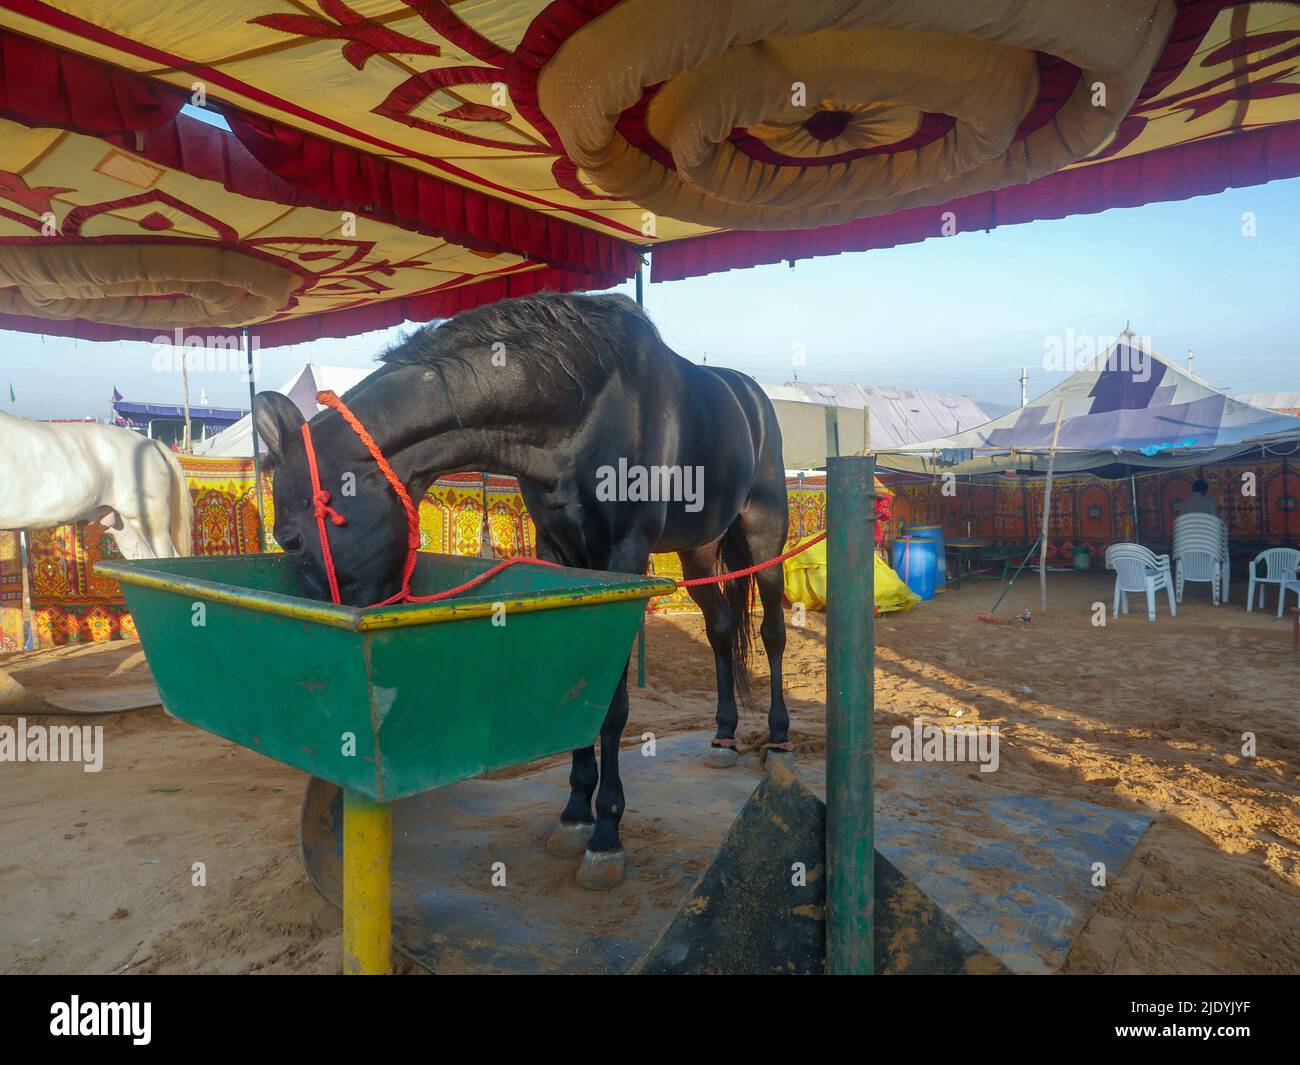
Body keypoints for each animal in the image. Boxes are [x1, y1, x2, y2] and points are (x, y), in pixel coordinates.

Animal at [253, 292, 789, 889]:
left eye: (290, 538)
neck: (583, 410)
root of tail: (753, 399)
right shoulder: (559, 552)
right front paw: (575, 814)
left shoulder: (626, 556)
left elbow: (613, 705)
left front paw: (606, 837)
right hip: (699, 547)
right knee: (720, 630)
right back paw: (723, 736)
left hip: (765, 535)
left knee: (772, 631)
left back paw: (778, 736)